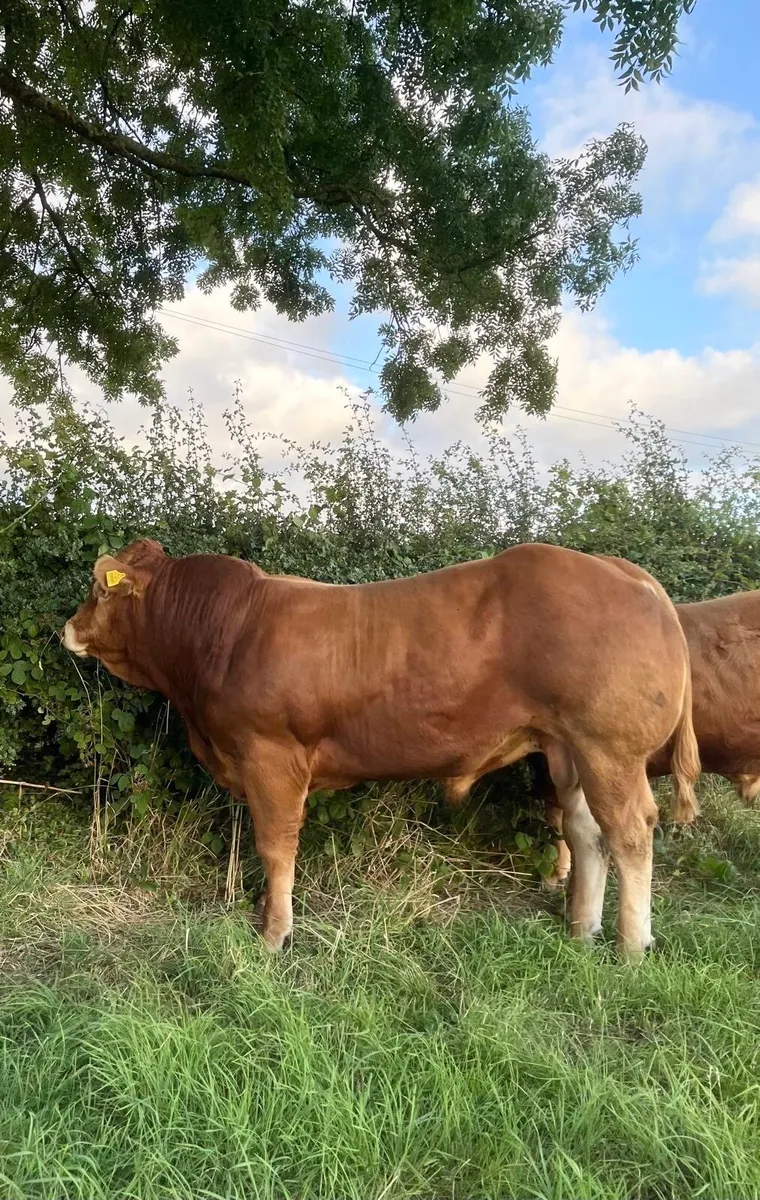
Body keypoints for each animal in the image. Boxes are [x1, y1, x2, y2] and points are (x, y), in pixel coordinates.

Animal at [63, 538, 699, 955]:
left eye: (97, 588)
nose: (67, 628)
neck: (227, 632)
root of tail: (619, 569)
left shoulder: (271, 757)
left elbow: (275, 847)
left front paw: (273, 934)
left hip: (609, 748)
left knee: (631, 833)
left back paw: (631, 945)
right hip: (569, 751)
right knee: (587, 832)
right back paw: (581, 929)